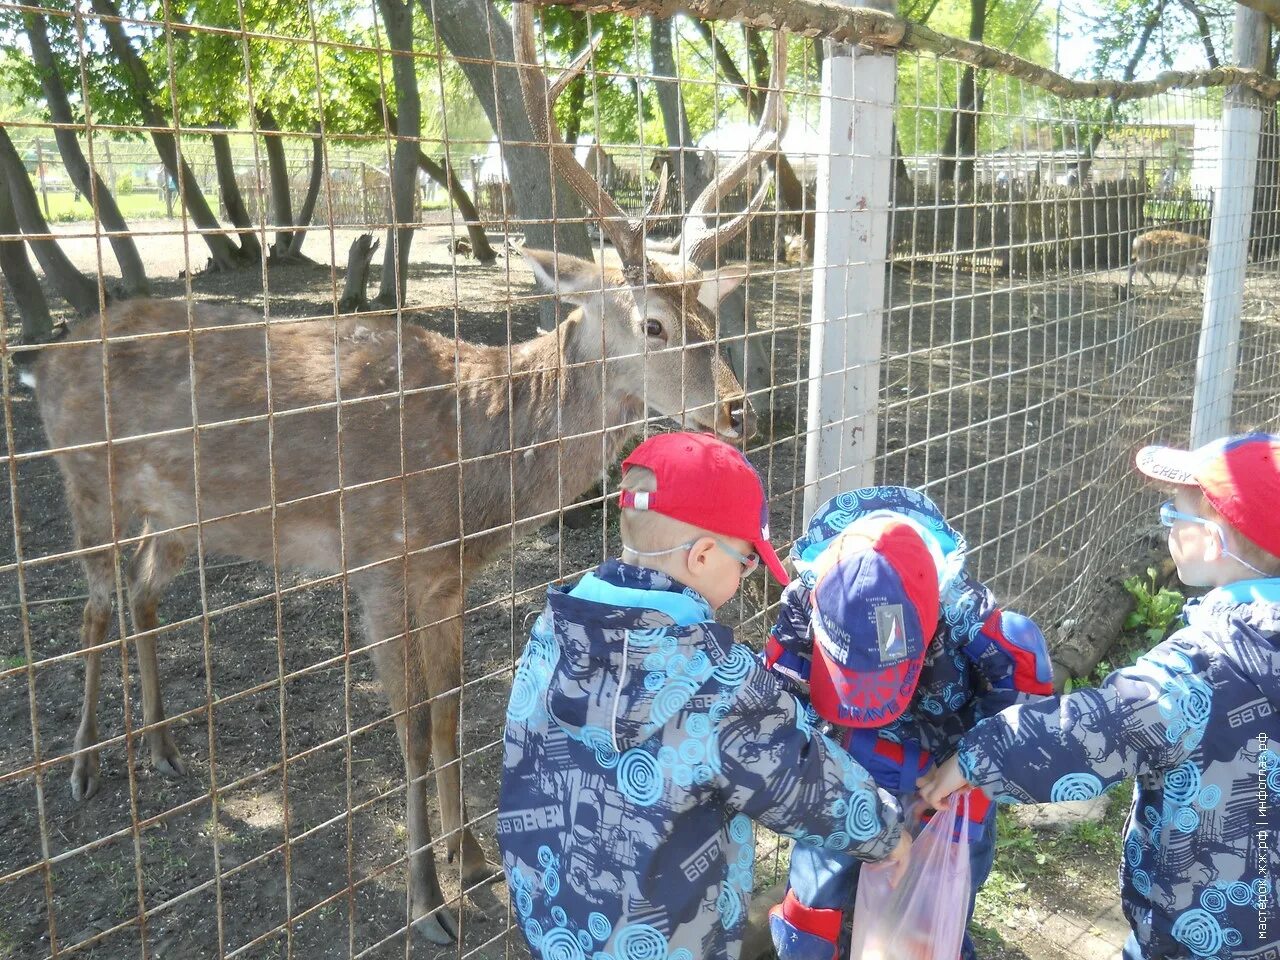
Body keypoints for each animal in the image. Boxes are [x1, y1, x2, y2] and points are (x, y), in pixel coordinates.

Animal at [30, 1, 783, 947]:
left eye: (708, 316)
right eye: (651, 323)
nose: (738, 410)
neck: (471, 468)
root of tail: (46, 362)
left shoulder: (447, 577)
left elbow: (456, 707)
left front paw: (472, 859)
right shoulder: (380, 566)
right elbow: (416, 727)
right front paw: (429, 901)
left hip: (174, 513)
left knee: (138, 590)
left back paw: (163, 749)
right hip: (83, 475)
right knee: (93, 601)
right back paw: (83, 767)